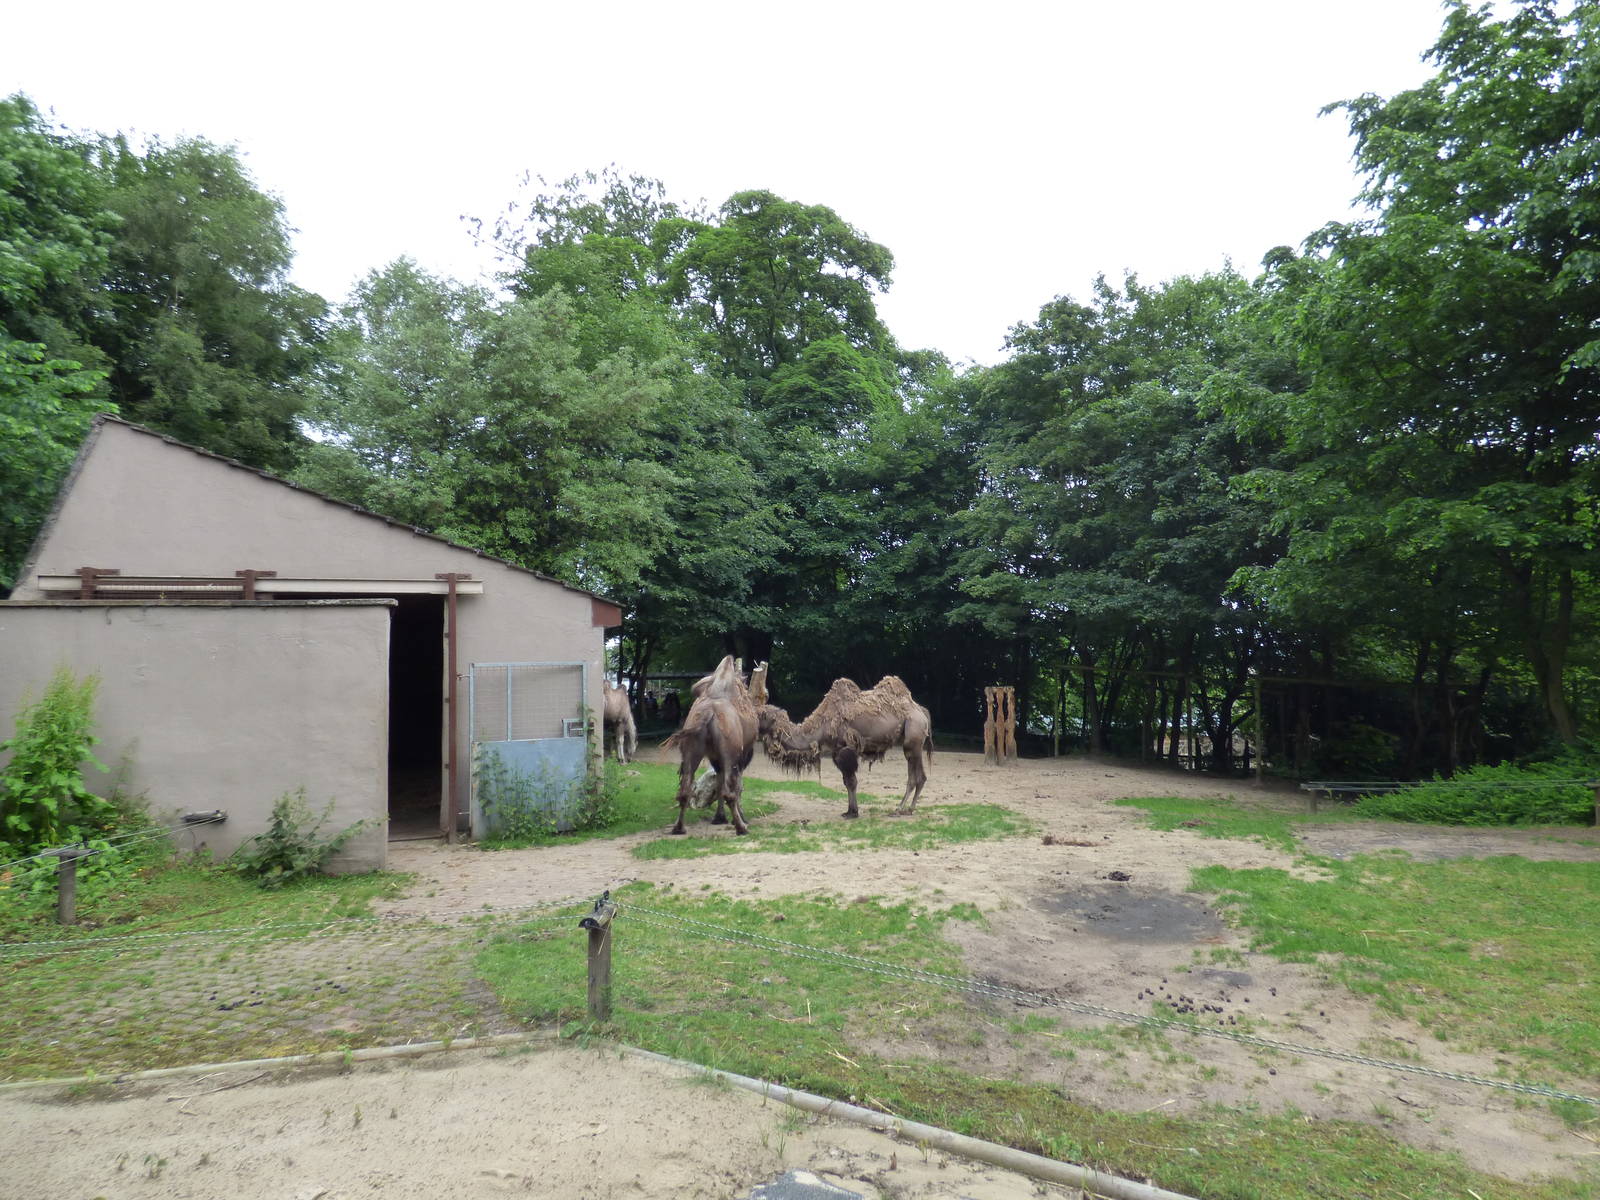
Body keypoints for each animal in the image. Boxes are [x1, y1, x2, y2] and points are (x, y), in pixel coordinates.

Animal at [663, 656, 759, 835]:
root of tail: (708, 713)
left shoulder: (715, 756)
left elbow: (719, 783)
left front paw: (719, 818)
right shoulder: (743, 755)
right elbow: (737, 786)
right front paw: (740, 818)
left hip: (691, 749)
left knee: (685, 789)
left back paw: (679, 828)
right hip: (730, 753)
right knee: (729, 791)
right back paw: (741, 828)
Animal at [757, 675, 932, 818]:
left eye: (761, 714)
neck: (822, 724)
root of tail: (921, 711)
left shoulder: (845, 749)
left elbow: (852, 781)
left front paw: (853, 813)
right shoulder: (836, 752)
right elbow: (847, 782)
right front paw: (849, 811)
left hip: (912, 738)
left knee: (915, 776)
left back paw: (899, 809)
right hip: (912, 741)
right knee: (920, 776)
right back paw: (909, 809)